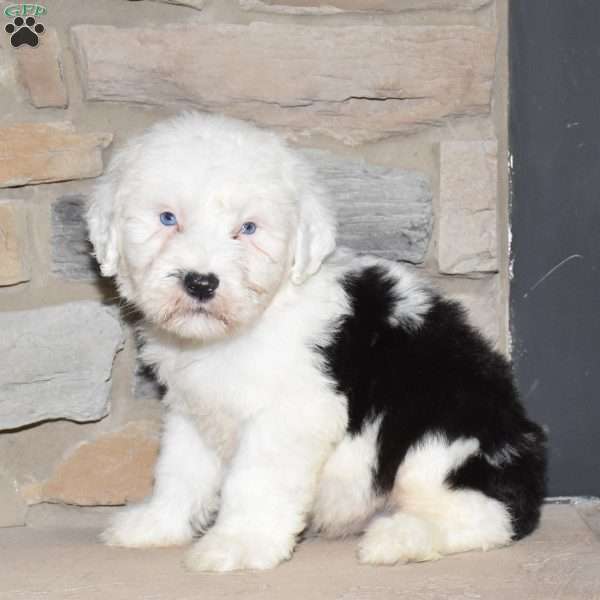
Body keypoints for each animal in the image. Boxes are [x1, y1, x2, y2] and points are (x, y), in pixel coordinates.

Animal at [86, 111, 548, 572]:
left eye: (248, 228)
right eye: (167, 219)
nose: (201, 282)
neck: (242, 330)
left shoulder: (290, 414)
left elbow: (254, 482)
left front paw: (237, 544)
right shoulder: (193, 409)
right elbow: (179, 471)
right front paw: (156, 525)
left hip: (439, 433)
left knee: (487, 515)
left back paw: (400, 537)